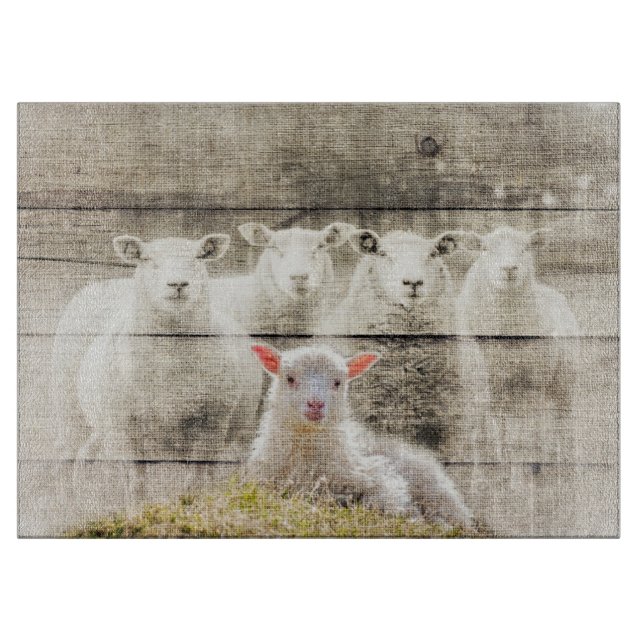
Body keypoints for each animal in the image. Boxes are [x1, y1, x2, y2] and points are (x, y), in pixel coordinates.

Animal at [52, 233, 264, 461]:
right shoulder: (123, 429)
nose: (178, 283)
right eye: (148, 259)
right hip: (71, 410)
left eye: (198, 258)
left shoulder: (212, 426)